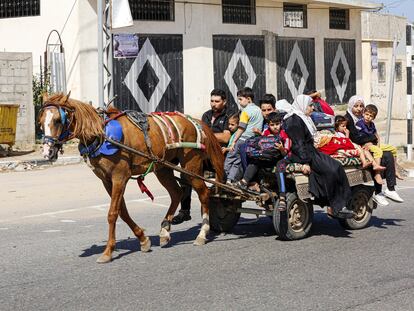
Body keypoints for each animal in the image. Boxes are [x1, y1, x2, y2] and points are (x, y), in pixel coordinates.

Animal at [39, 92, 225, 264]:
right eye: (41, 122)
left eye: (58, 120)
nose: (47, 152)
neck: (102, 134)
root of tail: (194, 121)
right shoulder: (107, 180)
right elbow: (123, 211)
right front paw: (143, 239)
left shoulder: (119, 177)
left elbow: (113, 213)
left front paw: (108, 252)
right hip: (163, 167)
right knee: (176, 193)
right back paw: (165, 230)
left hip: (190, 167)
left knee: (203, 194)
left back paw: (202, 234)